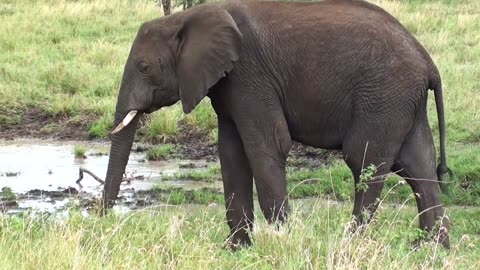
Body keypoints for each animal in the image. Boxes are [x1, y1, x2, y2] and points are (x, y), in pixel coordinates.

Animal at [101, 0, 450, 249]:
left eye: (144, 67)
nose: (102, 220)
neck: (190, 17)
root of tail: (428, 63)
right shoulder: (228, 85)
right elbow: (231, 154)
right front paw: (237, 250)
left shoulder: (250, 76)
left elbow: (267, 146)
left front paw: (282, 240)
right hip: (402, 101)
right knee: (418, 167)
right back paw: (432, 251)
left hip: (383, 96)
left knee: (364, 161)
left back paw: (351, 245)